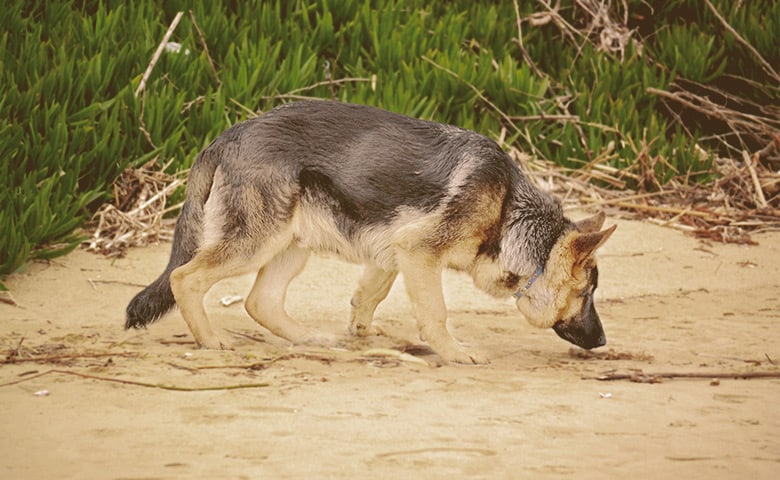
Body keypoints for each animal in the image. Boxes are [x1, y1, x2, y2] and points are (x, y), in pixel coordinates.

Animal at [126, 101, 616, 364]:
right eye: (586, 294)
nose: (603, 341)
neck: (509, 211)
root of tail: (226, 136)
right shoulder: (419, 252)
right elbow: (435, 312)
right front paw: (454, 351)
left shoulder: (394, 252)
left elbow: (368, 297)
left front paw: (363, 334)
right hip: (254, 244)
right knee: (184, 278)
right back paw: (210, 341)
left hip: (291, 245)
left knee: (259, 301)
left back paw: (309, 338)